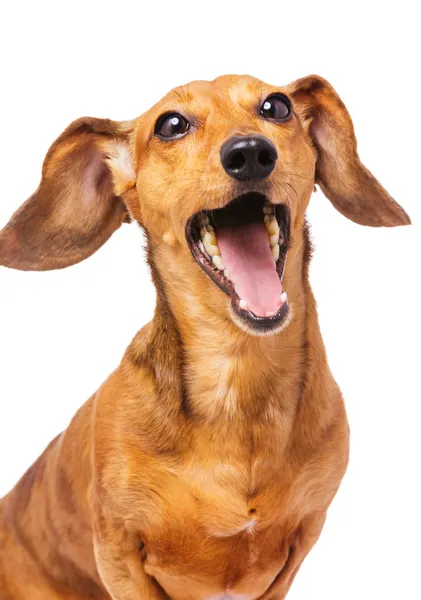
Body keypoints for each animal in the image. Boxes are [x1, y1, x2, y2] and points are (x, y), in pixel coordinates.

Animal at [0, 76, 408, 600]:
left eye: (277, 106)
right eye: (171, 124)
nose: (250, 153)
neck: (238, 374)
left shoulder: (297, 546)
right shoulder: (117, 550)